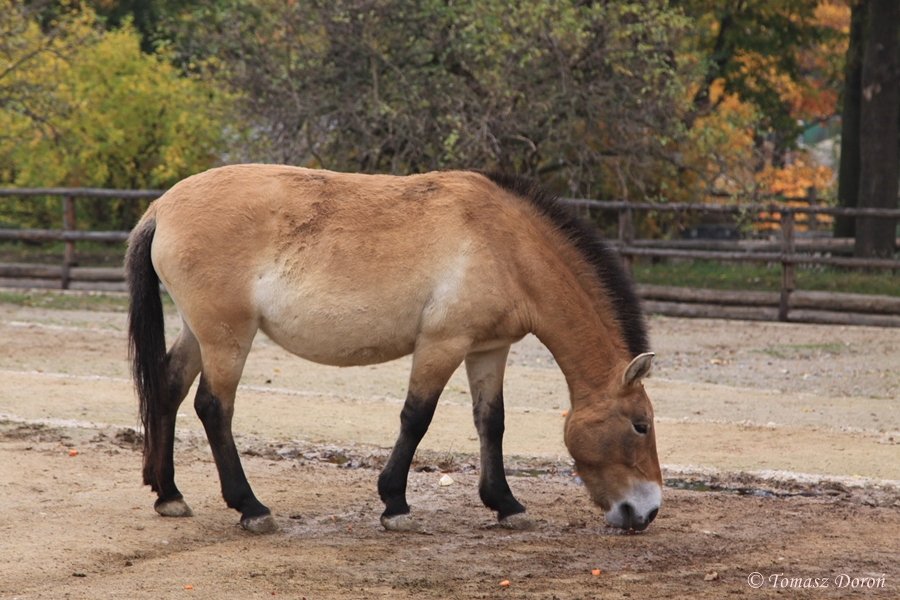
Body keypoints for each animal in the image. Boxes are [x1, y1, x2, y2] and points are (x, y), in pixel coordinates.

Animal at [126, 164, 661, 534]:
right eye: (640, 425)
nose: (648, 510)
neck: (506, 246)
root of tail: (160, 210)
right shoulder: (442, 344)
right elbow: (416, 418)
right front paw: (395, 505)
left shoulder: (488, 350)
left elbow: (491, 423)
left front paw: (506, 505)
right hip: (227, 337)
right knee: (213, 407)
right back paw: (251, 508)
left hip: (199, 333)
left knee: (169, 390)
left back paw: (168, 494)